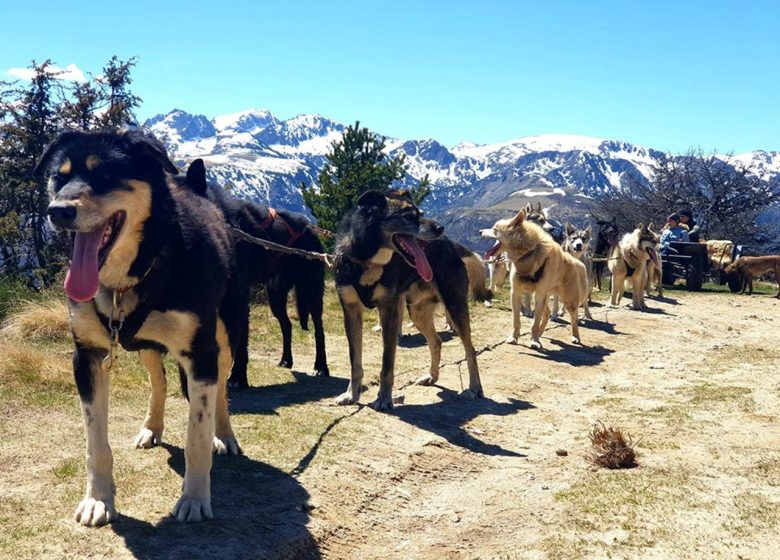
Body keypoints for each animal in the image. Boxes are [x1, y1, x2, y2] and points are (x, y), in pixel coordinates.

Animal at [35, 130, 241, 524]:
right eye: (58, 177)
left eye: (105, 175)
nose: (58, 211)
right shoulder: (88, 357)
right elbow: (95, 442)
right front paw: (98, 499)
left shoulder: (201, 353)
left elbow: (196, 436)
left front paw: (194, 498)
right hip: (146, 347)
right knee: (158, 381)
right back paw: (152, 427)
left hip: (226, 336)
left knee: (222, 388)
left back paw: (224, 435)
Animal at [183, 158, 330, 384]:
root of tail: (310, 229)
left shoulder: (238, 298)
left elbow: (240, 344)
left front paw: (237, 377)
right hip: (276, 296)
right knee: (287, 325)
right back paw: (286, 360)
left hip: (311, 292)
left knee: (319, 330)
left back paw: (321, 367)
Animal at [330, 189, 482, 412]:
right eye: (408, 217)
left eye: (421, 213)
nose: (440, 228)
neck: (367, 259)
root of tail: (450, 243)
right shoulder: (351, 311)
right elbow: (354, 361)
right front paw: (352, 394)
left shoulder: (389, 311)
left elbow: (387, 363)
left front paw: (384, 398)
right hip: (418, 312)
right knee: (436, 341)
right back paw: (431, 376)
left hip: (455, 306)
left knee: (470, 348)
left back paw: (475, 388)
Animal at [478, 208, 588, 348]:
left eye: (495, 229)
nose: (479, 231)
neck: (529, 254)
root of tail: (577, 262)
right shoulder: (516, 292)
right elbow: (516, 320)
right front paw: (514, 337)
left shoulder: (539, 295)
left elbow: (535, 320)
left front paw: (534, 340)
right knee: (546, 314)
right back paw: (540, 333)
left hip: (569, 301)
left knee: (574, 318)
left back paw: (575, 337)